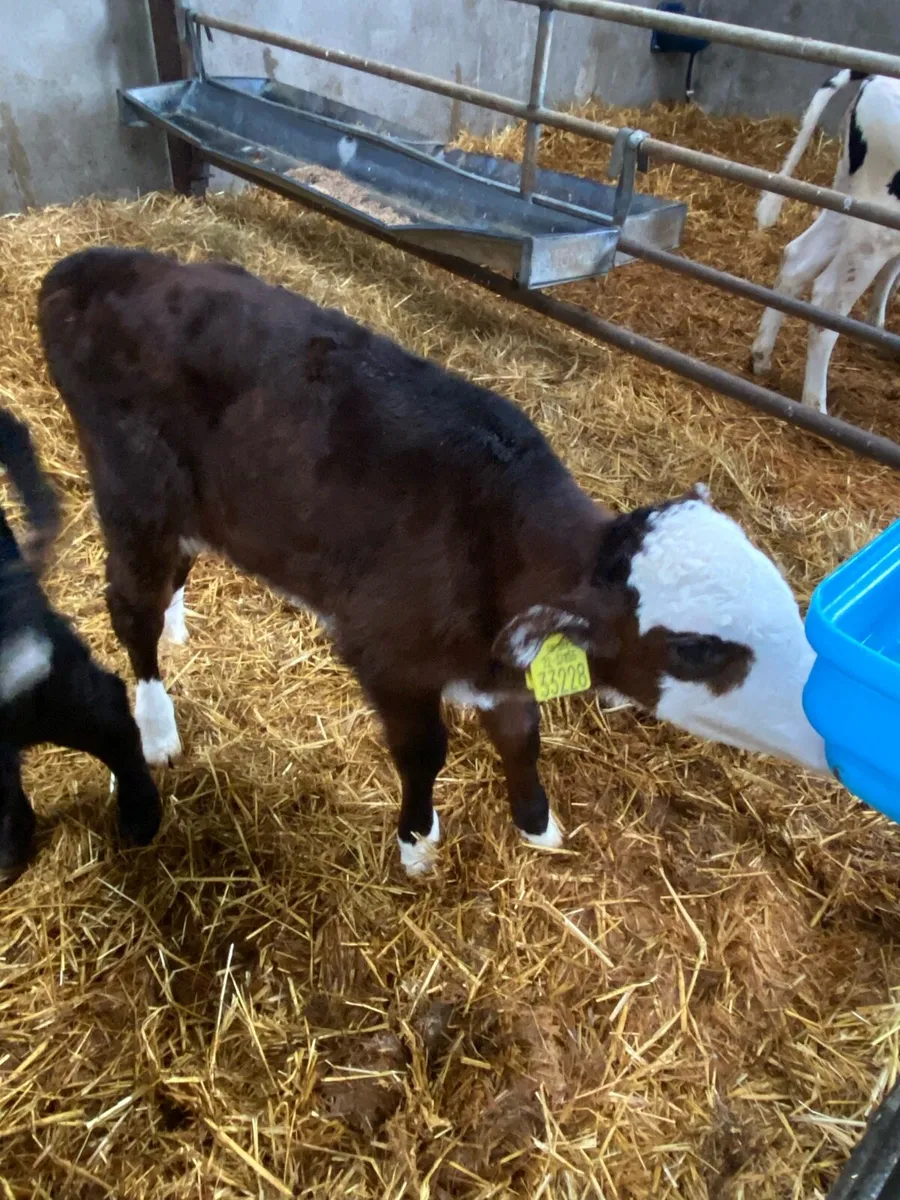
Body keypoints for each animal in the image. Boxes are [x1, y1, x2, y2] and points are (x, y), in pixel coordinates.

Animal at [38, 247, 829, 876]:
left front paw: (537, 823)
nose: (826, 723)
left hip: (196, 512)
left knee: (169, 580)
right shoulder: (385, 656)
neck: (497, 537)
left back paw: (177, 624)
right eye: (696, 649)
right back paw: (157, 726)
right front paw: (417, 841)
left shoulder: (510, 663)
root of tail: (91, 264)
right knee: (128, 610)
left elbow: (522, 737)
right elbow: (424, 752)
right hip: (133, 496)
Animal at [751, 69, 900, 412]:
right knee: (828, 299)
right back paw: (815, 406)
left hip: (850, 198)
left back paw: (760, 357)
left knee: (797, 257)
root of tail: (875, 75)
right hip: (880, 222)